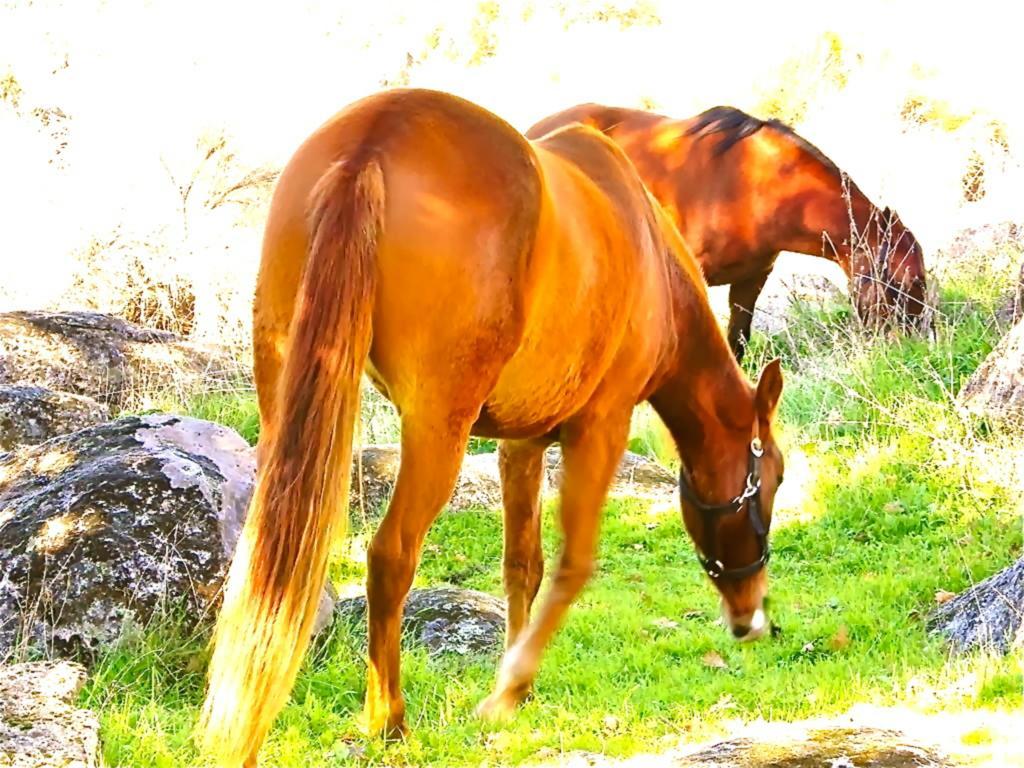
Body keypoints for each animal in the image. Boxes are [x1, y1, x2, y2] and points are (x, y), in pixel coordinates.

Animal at [201, 87, 790, 765]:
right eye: (772, 481)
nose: (751, 617)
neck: (647, 246)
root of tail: (371, 141)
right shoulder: (602, 429)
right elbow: (573, 564)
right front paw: (507, 693)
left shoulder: (521, 444)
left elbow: (522, 565)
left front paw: (517, 682)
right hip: (437, 431)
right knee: (390, 556)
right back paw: (388, 719)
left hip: (286, 405)